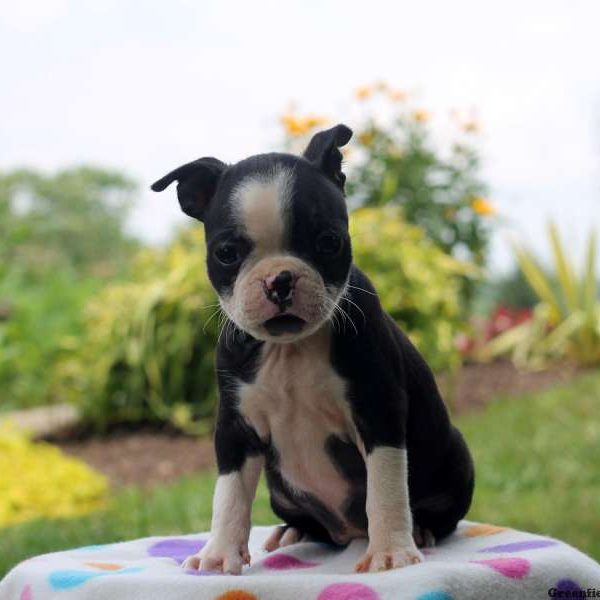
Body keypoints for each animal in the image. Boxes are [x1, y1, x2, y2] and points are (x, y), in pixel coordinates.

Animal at [150, 124, 474, 576]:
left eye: (328, 242)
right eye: (227, 253)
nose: (279, 279)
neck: (291, 349)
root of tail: (346, 533)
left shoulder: (378, 411)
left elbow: (386, 487)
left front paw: (391, 552)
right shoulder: (236, 426)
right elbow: (229, 495)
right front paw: (219, 555)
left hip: (455, 456)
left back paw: (421, 529)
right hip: (280, 491)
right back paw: (294, 532)